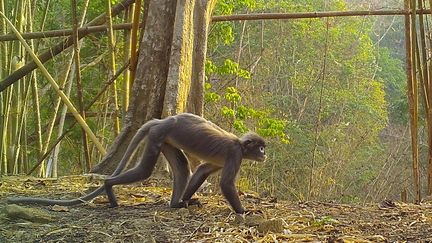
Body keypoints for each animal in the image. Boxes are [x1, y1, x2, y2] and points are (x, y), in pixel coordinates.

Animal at [9, 113, 266, 214]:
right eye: (261, 147)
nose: (264, 155)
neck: (240, 145)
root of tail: (164, 119)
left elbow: (202, 169)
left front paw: (187, 200)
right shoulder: (235, 154)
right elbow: (225, 184)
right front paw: (245, 211)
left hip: (164, 138)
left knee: (182, 167)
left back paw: (176, 204)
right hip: (158, 135)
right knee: (144, 171)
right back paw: (109, 186)